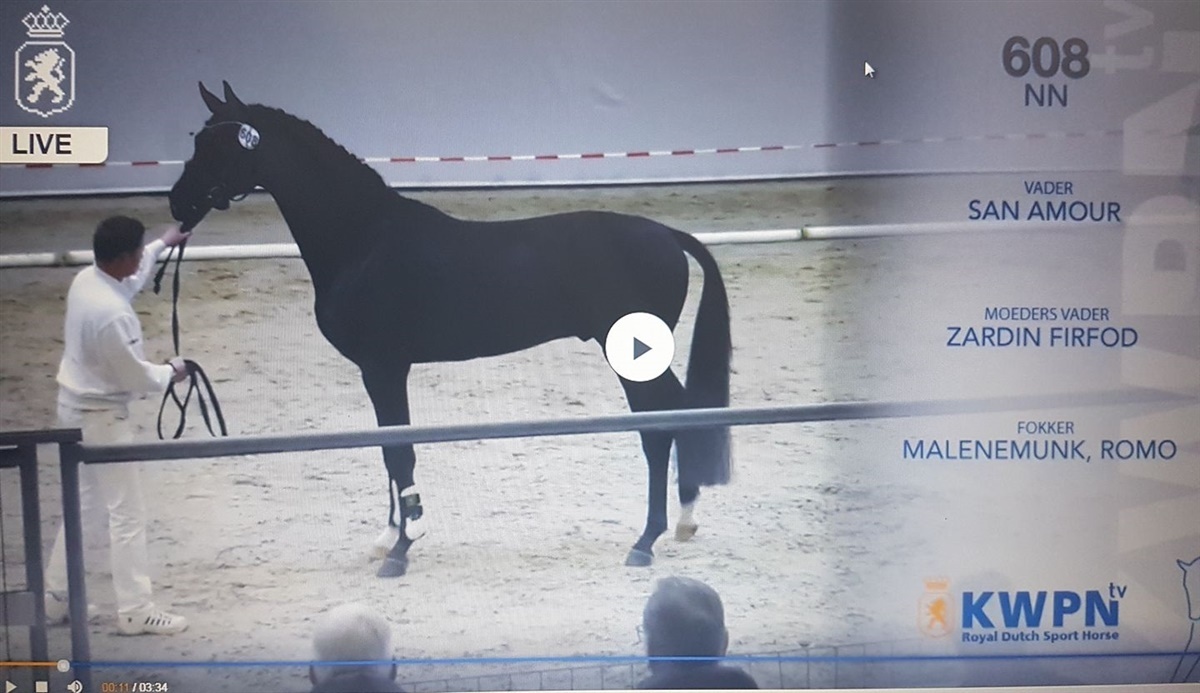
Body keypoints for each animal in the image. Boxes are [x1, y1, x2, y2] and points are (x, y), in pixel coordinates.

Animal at [168, 82, 732, 578]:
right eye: (198, 139)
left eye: (217, 144)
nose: (178, 202)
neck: (364, 239)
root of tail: (668, 235)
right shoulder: (380, 372)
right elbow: (388, 450)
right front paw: (388, 537)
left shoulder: (384, 367)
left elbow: (400, 452)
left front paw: (402, 549)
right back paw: (683, 521)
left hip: (632, 359)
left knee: (658, 427)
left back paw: (646, 540)